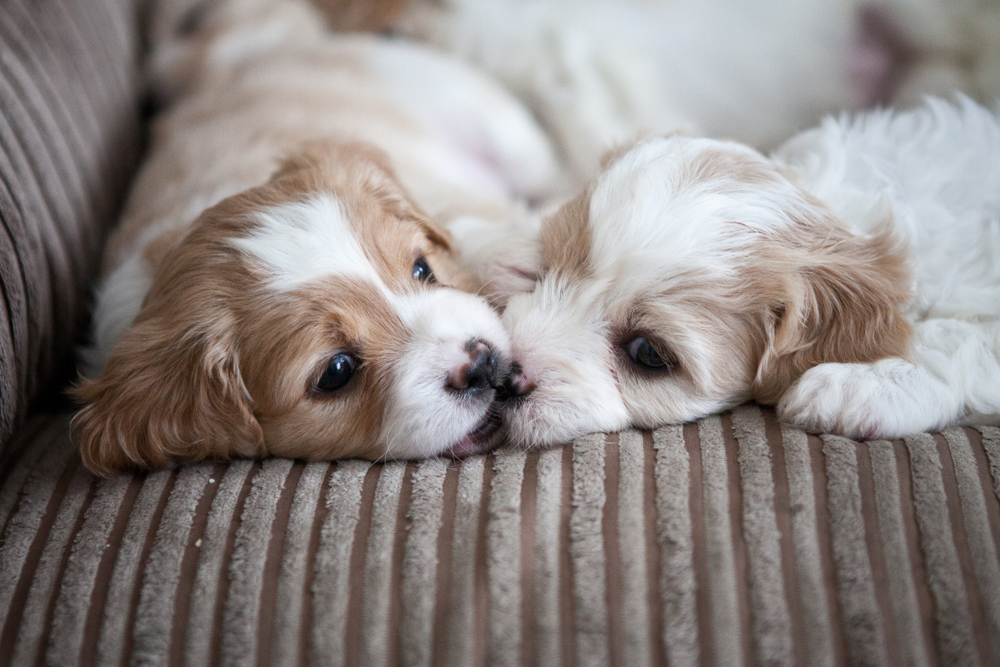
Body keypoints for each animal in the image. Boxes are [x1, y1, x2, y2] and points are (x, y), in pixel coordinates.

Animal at [74, 0, 560, 474]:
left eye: (423, 269)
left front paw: (517, 256)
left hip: (497, 128)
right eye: (336, 371)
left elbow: (462, 219)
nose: (481, 364)